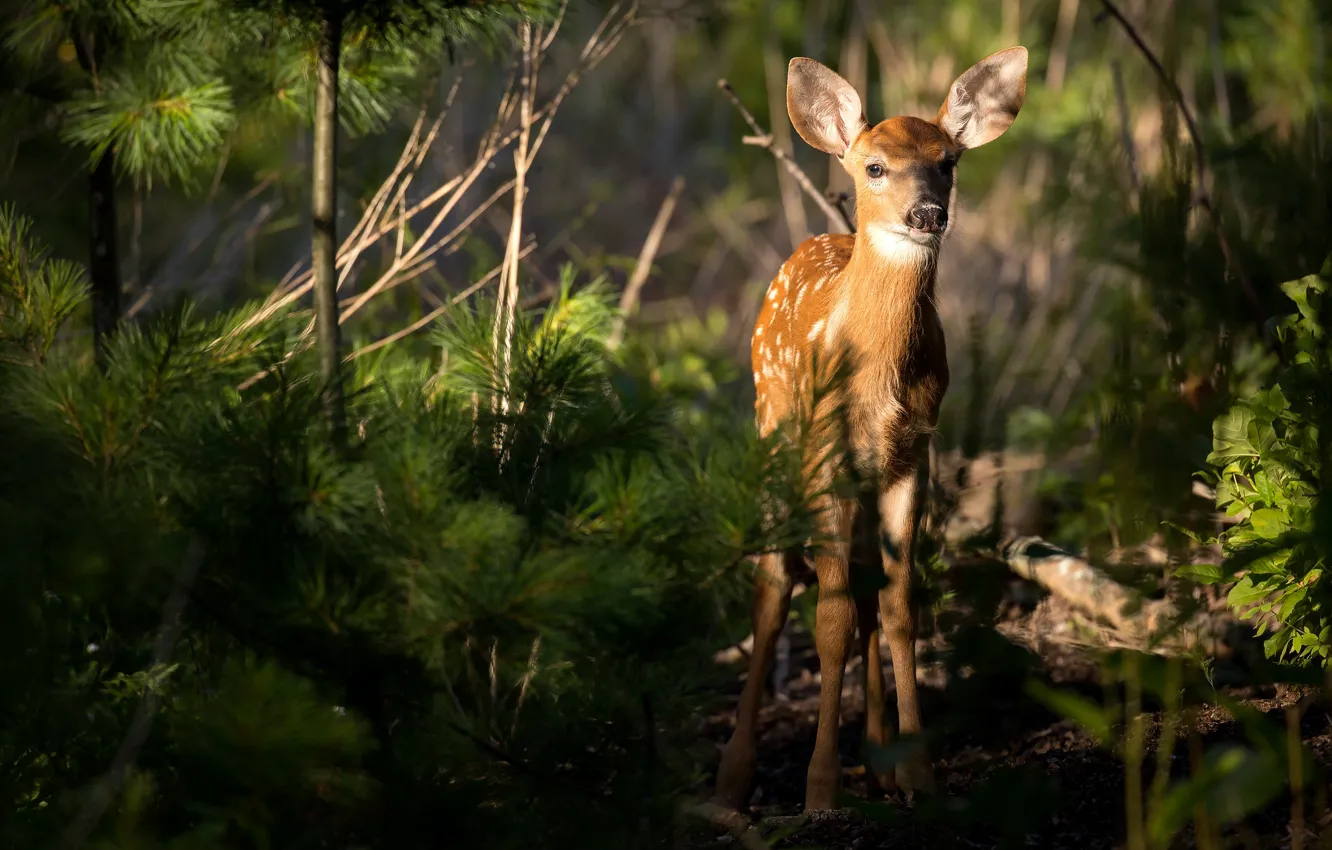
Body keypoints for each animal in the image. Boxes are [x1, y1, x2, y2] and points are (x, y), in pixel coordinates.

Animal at [714, 46, 1028, 812]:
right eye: (876, 166)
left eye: (948, 161)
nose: (927, 213)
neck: (876, 378)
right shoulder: (828, 458)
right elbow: (827, 622)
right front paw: (820, 790)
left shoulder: (911, 456)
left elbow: (897, 607)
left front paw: (918, 774)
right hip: (776, 438)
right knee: (774, 588)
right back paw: (734, 776)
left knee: (860, 593)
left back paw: (879, 759)